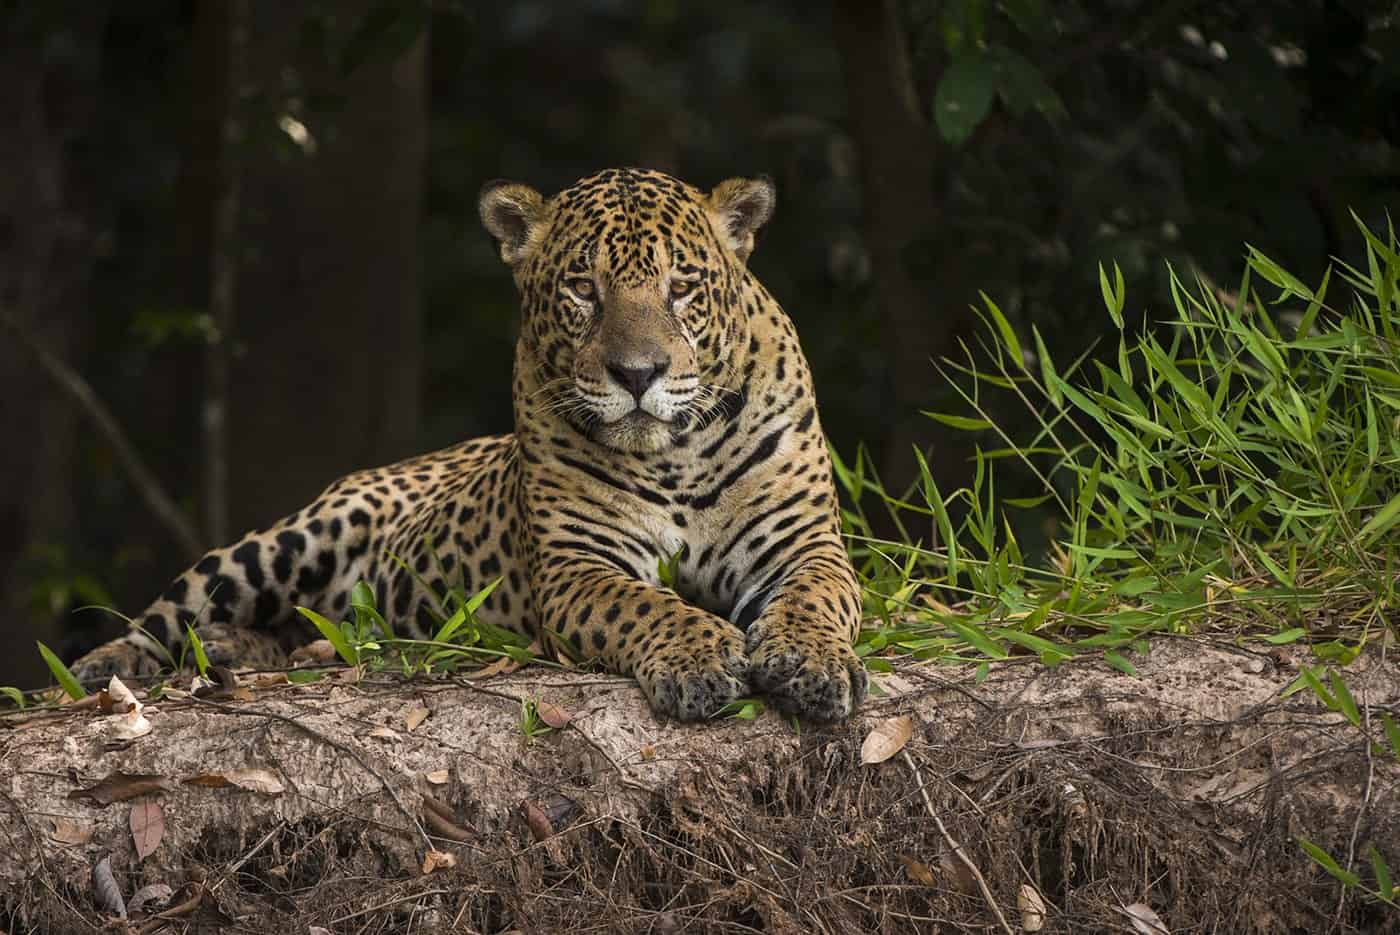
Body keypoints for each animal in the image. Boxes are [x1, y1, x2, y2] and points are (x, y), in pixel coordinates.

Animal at [71, 167, 868, 722]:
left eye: (683, 287)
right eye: (583, 288)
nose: (638, 373)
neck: (676, 451)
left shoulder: (802, 543)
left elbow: (818, 596)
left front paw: (812, 664)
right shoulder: (578, 565)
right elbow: (647, 606)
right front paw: (698, 657)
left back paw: (234, 647)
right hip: (291, 539)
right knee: (168, 612)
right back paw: (107, 668)